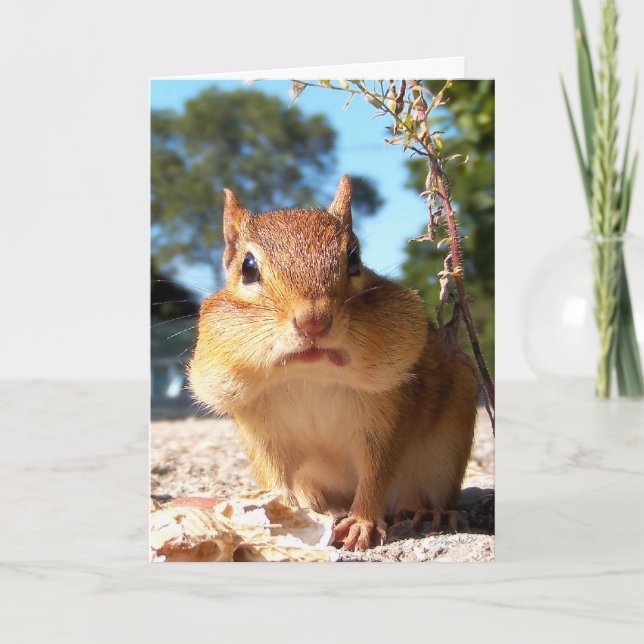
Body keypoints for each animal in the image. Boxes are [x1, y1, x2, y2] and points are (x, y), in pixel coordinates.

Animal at [189, 175, 478, 551]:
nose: (313, 322)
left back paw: (432, 513)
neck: (311, 376)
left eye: (353, 259)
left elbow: (376, 472)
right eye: (247, 268)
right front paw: (279, 519)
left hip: (446, 453)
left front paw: (362, 523)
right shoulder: (260, 432)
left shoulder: (388, 417)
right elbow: (273, 480)